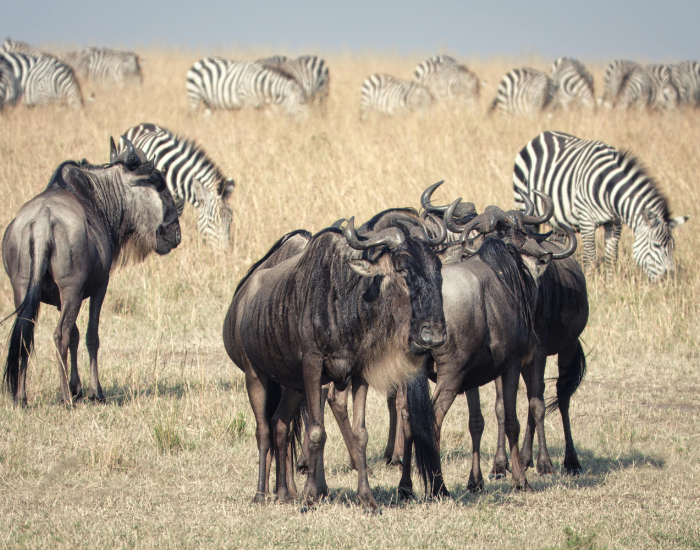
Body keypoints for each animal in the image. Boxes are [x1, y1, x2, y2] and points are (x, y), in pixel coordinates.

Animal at [513, 131, 688, 281]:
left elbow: (611, 254)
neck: (608, 189)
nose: (669, 279)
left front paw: (609, 282)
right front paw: (590, 280)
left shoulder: (615, 222)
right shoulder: (587, 220)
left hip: (559, 224)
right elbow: (590, 254)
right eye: (657, 245)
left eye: (673, 246)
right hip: (522, 200)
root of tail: (542, 134)